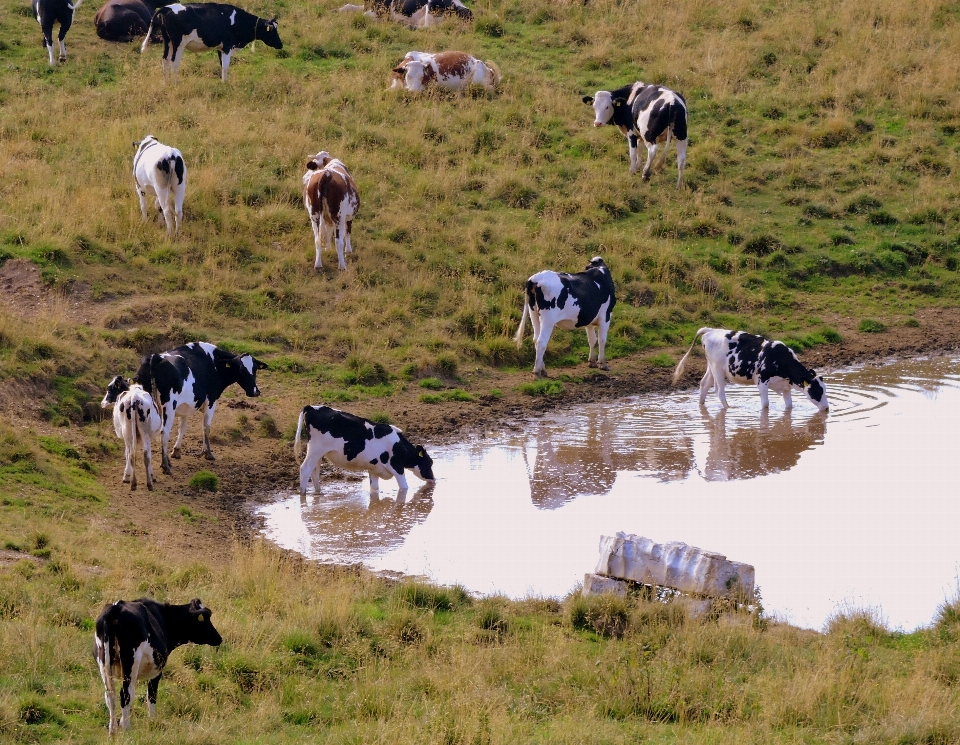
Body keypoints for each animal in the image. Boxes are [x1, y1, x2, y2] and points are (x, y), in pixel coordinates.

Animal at [95, 596, 223, 728]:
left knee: (110, 695)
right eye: (204, 620)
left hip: (104, 662)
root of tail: (116, 608)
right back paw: (126, 728)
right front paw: (152, 722)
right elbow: (152, 695)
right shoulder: (157, 670)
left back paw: (113, 729)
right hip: (131, 663)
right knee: (125, 694)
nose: (219, 638)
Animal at [133, 342, 268, 474]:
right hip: (169, 407)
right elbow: (206, 427)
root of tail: (155, 357)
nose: (255, 392)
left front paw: (176, 451)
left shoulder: (184, 406)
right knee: (164, 432)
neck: (214, 362)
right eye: (242, 370)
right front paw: (207, 453)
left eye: (255, 369)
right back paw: (165, 466)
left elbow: (183, 428)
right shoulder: (211, 400)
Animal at [139, 2, 282, 82]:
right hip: (178, 43)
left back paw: (166, 83)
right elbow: (225, 67)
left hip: (167, 41)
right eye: (272, 31)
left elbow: (222, 66)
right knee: (174, 63)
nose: (281, 45)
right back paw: (175, 84)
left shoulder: (220, 48)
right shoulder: (227, 46)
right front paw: (225, 84)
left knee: (165, 60)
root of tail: (167, 7)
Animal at [292, 406, 436, 494]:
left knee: (314, 471)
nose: (433, 479)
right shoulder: (397, 467)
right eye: (429, 463)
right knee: (305, 469)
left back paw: (318, 493)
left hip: (317, 452)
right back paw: (303, 494)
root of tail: (312, 407)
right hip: (316, 449)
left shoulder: (374, 469)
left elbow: (374, 489)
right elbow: (404, 487)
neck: (400, 445)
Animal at [672, 326, 828, 410]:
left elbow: (789, 406)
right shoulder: (761, 381)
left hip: (711, 367)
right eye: (817, 391)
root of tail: (710, 330)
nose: (827, 408)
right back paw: (729, 408)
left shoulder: (785, 386)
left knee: (704, 384)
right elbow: (765, 405)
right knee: (719, 391)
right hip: (717, 369)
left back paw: (701, 406)